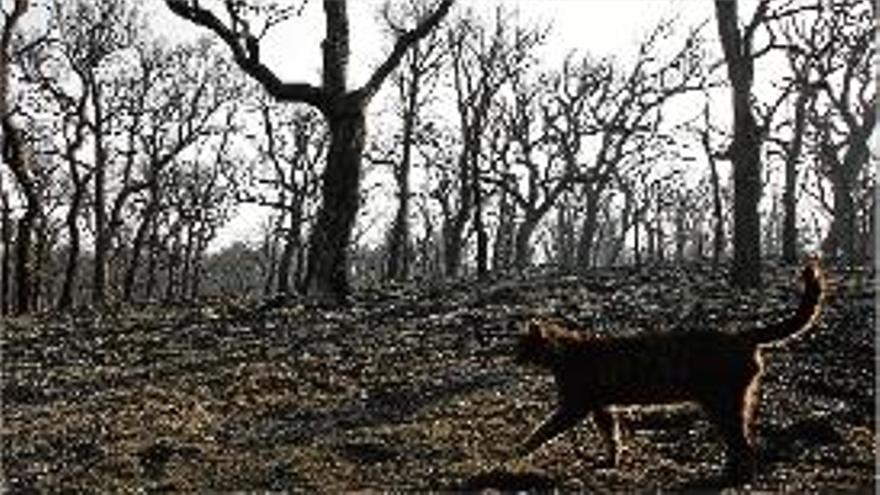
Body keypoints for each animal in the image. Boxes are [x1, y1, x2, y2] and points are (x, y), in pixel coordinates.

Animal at [516, 262, 824, 482]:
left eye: (522, 346)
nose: (514, 357)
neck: (564, 352)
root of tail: (740, 334)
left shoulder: (574, 405)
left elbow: (544, 429)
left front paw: (518, 451)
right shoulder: (601, 406)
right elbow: (611, 435)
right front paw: (612, 461)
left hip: (721, 402)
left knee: (743, 443)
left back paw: (734, 477)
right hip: (729, 403)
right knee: (742, 440)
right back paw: (730, 472)